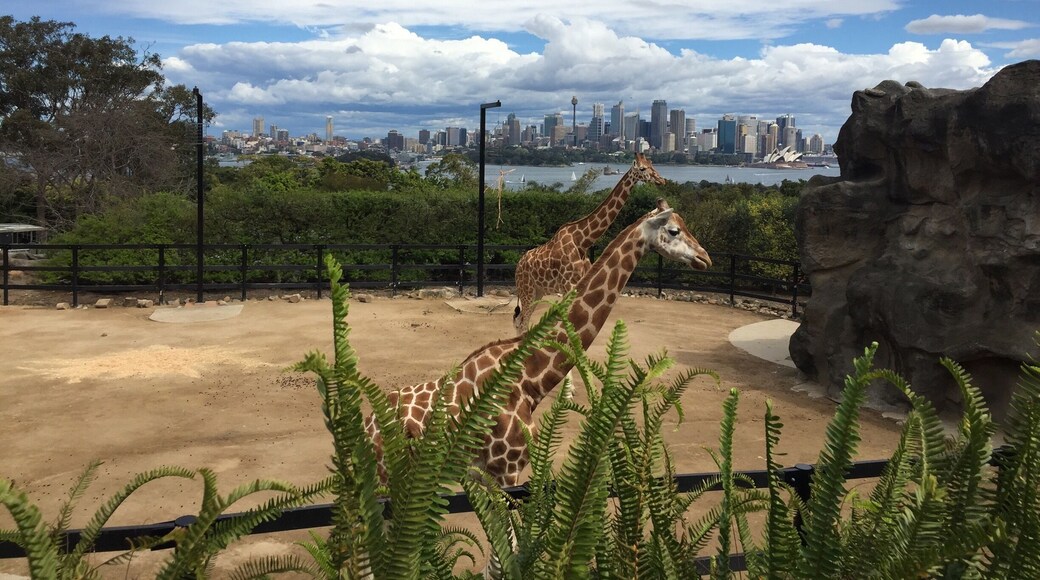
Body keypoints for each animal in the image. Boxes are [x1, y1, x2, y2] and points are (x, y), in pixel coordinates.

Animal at [368, 198, 711, 487]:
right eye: (674, 230)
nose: (704, 258)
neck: (529, 380)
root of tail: (369, 422)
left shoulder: (487, 476)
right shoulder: (506, 471)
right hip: (388, 477)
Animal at [512, 153, 666, 335]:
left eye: (652, 164)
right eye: (642, 169)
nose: (661, 180)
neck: (583, 241)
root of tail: (518, 266)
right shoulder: (568, 286)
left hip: (538, 291)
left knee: (521, 321)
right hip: (527, 290)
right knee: (522, 322)